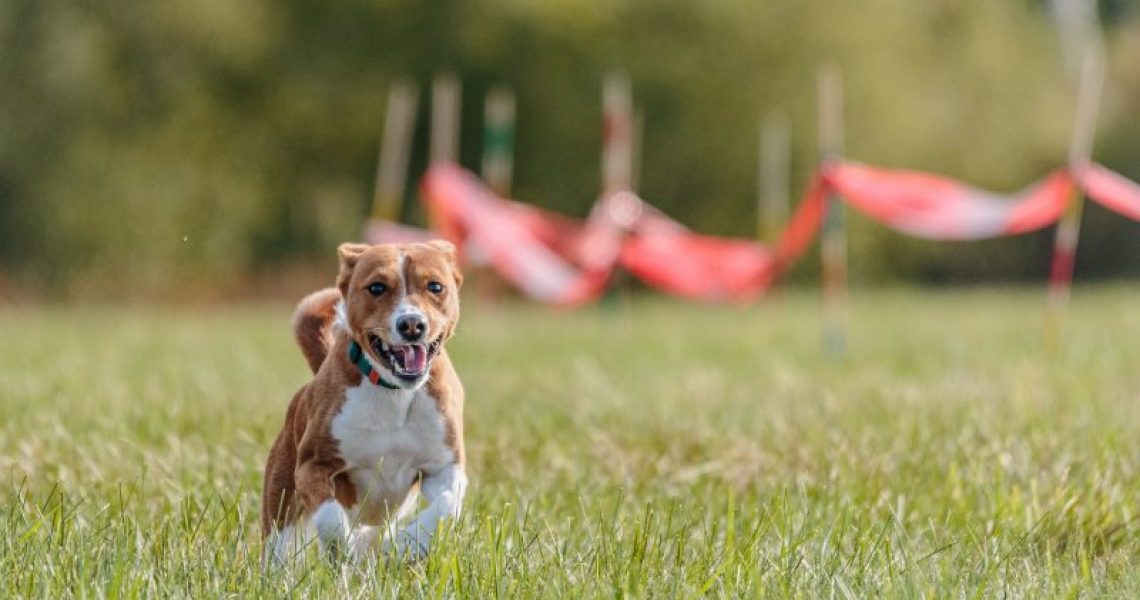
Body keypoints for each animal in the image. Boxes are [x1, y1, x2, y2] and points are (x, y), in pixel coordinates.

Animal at [261, 241, 462, 568]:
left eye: (435, 286)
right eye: (376, 287)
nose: (412, 324)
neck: (394, 392)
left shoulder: (443, 464)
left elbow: (448, 504)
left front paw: (408, 545)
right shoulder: (312, 466)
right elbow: (330, 516)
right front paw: (344, 551)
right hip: (281, 494)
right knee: (278, 544)